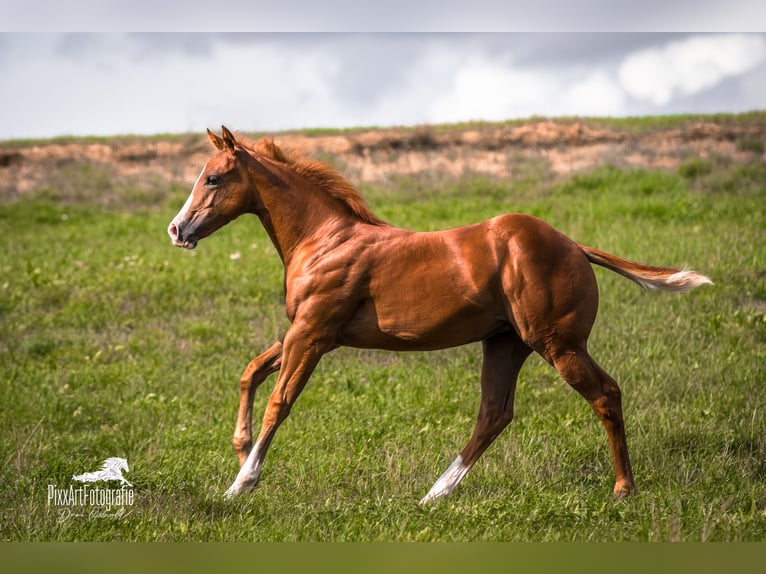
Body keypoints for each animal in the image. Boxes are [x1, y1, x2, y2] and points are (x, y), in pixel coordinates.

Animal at [168, 126, 711, 503]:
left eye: (212, 178)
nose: (177, 229)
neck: (324, 239)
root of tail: (574, 246)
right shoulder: (305, 332)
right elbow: (251, 372)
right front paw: (240, 451)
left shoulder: (312, 335)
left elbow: (279, 401)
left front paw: (241, 484)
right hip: (506, 344)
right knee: (494, 414)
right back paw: (435, 494)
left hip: (557, 344)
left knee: (604, 394)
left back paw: (623, 489)